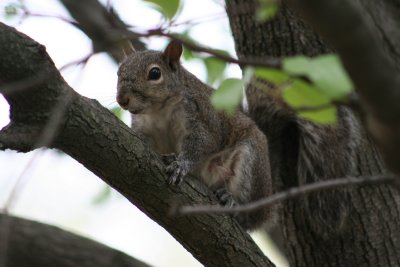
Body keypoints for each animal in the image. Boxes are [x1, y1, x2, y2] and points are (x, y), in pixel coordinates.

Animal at [115, 39, 272, 230]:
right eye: (118, 72)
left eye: (155, 73)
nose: (122, 99)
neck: (158, 111)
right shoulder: (143, 127)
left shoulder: (201, 119)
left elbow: (202, 144)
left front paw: (180, 165)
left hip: (252, 161)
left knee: (248, 213)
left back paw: (232, 200)